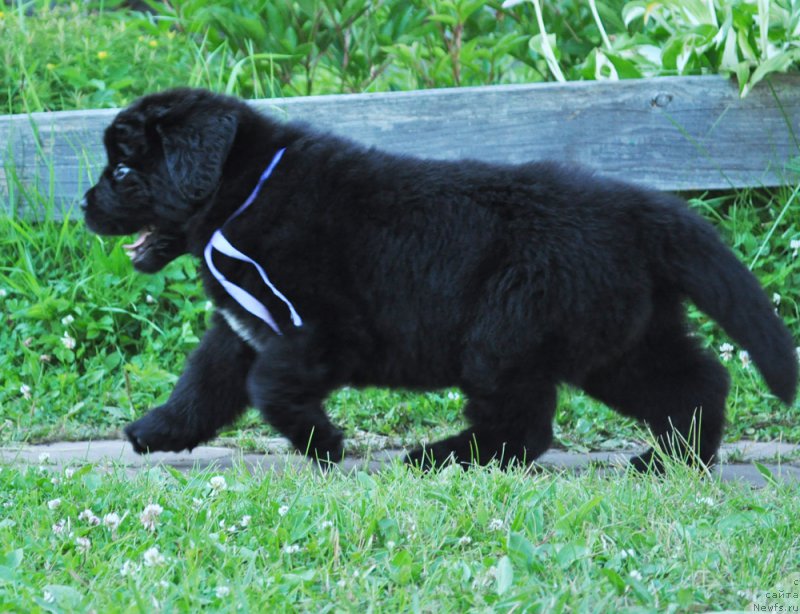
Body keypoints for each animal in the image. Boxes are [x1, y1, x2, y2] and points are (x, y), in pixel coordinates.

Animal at [84, 88, 796, 472]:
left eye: (122, 171)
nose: (84, 205)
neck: (242, 192)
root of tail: (643, 209)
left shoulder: (320, 329)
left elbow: (268, 387)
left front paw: (325, 443)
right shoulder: (244, 328)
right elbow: (203, 383)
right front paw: (156, 432)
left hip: (508, 331)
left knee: (523, 425)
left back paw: (441, 455)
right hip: (620, 337)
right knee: (697, 381)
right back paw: (670, 462)